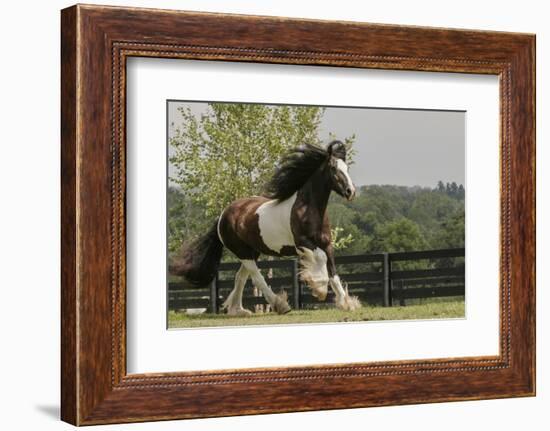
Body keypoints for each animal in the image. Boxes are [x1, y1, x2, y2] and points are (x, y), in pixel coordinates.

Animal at [171, 140, 362, 316]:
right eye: (333, 168)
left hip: (251, 252)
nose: (350, 191)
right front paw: (320, 290)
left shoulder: (327, 244)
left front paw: (346, 304)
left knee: (240, 277)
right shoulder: (303, 243)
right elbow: (322, 260)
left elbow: (333, 272)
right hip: (243, 253)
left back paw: (238, 310)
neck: (308, 209)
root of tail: (223, 215)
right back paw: (280, 306)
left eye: (346, 167)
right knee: (257, 277)